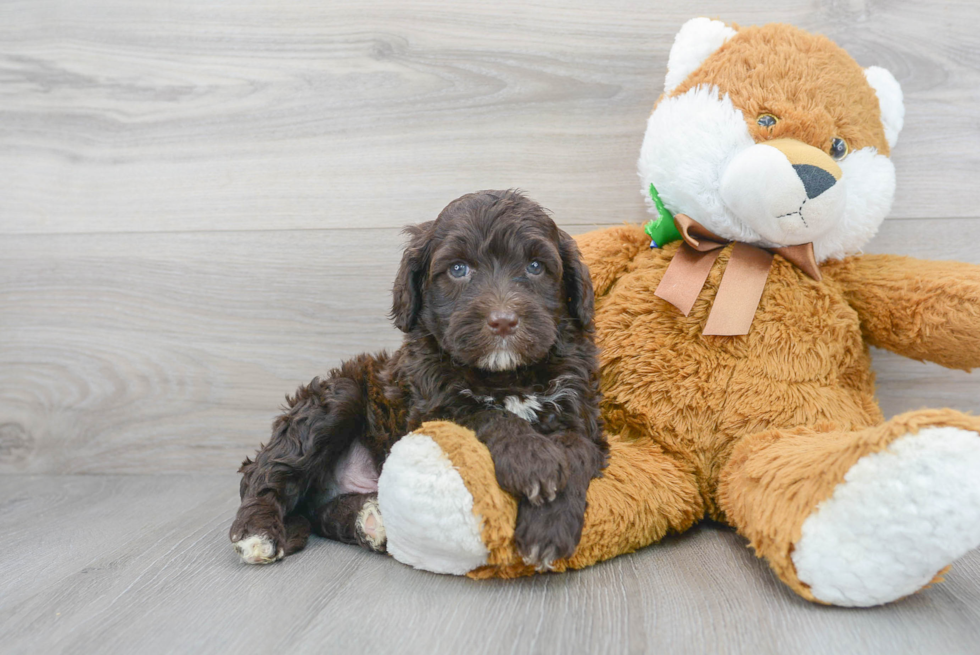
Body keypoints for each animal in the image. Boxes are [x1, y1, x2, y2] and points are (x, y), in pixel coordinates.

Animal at [232, 188, 604, 568]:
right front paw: (534, 461)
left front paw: (548, 527)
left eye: (535, 267)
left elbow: (576, 451)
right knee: (264, 474)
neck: (506, 374)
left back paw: (371, 521)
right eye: (458, 269)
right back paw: (258, 532)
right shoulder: (432, 409)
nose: (503, 321)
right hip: (336, 397)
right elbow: (488, 414)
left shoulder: (579, 410)